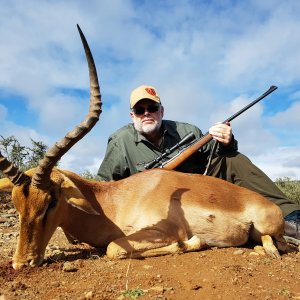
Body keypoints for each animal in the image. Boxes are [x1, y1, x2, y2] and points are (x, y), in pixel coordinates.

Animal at [0, 25, 290, 270]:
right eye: (16, 203)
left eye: (52, 200)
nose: (22, 263)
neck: (114, 201)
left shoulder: (161, 231)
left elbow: (115, 248)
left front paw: (192, 242)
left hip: (267, 227)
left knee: (277, 245)